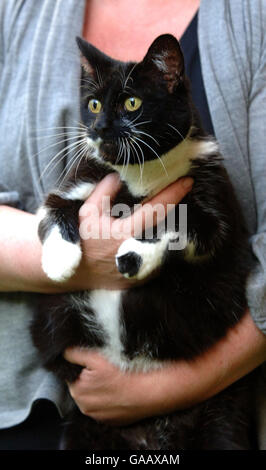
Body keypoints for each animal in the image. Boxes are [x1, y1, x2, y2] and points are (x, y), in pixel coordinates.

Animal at [31, 35, 256, 450]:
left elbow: (185, 223)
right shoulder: (83, 175)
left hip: (224, 411)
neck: (141, 172)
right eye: (94, 104)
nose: (100, 128)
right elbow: (53, 210)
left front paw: (135, 254)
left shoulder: (213, 200)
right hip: (83, 428)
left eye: (132, 103)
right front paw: (60, 261)